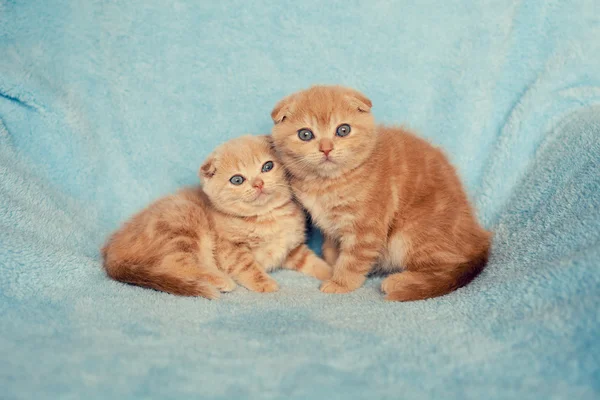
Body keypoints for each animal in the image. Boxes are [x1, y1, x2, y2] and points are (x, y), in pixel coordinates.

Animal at [101, 136, 330, 298]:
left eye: (267, 166)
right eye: (237, 180)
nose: (258, 184)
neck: (267, 216)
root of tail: (111, 252)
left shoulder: (291, 250)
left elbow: (311, 261)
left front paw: (331, 274)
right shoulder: (231, 249)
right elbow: (247, 266)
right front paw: (264, 283)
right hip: (183, 221)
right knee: (174, 264)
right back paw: (220, 280)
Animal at [270, 86, 490, 302]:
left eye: (343, 130)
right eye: (305, 134)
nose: (326, 149)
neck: (327, 182)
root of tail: (479, 239)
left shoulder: (366, 228)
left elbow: (352, 260)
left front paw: (340, 283)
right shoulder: (331, 229)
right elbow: (332, 251)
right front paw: (331, 268)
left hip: (411, 233)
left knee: (450, 265)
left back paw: (398, 281)